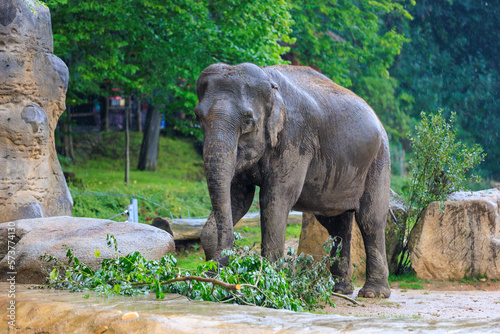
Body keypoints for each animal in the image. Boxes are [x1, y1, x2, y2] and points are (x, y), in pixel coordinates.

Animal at [194, 62, 390, 298]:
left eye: (248, 120)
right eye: (198, 117)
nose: (216, 268)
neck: (270, 84)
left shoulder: (295, 138)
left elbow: (275, 198)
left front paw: (268, 286)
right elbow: (238, 198)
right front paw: (209, 278)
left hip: (379, 160)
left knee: (370, 220)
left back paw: (373, 293)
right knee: (336, 225)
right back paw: (340, 289)